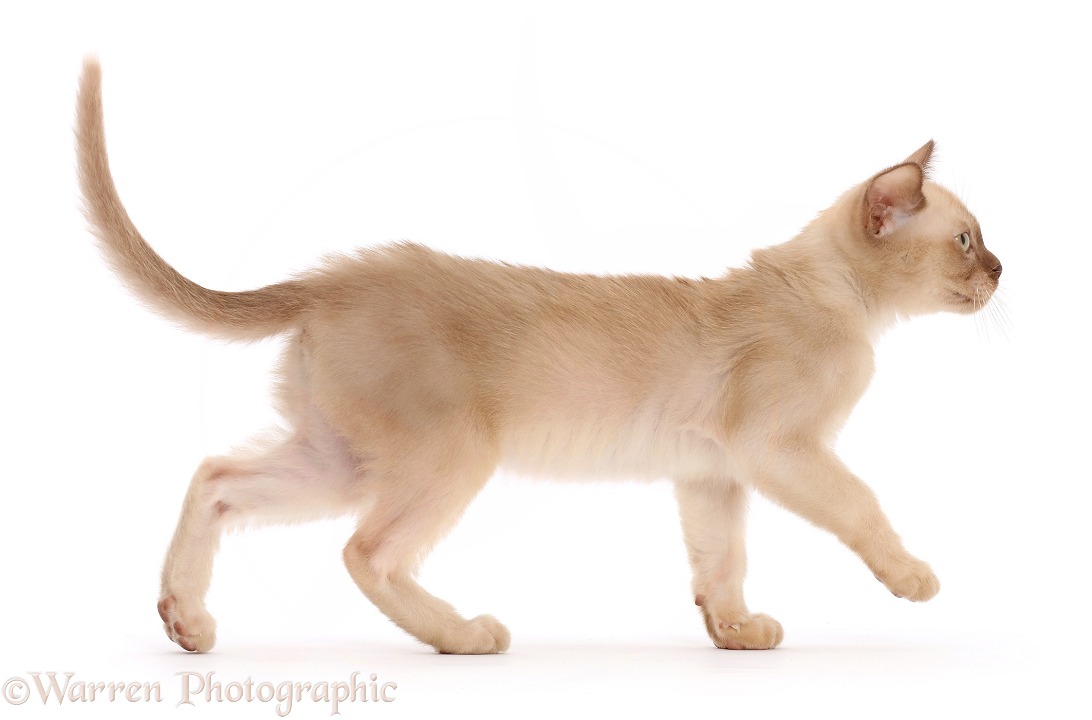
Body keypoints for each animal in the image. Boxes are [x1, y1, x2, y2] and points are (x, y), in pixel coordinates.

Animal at [76, 57, 1000, 655]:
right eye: (965, 240)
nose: (1002, 270)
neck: (837, 299)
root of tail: (334, 277)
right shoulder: (781, 451)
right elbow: (863, 507)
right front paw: (913, 578)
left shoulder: (713, 474)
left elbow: (722, 561)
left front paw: (734, 632)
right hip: (446, 458)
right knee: (364, 553)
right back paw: (463, 635)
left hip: (338, 460)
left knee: (216, 478)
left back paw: (184, 619)